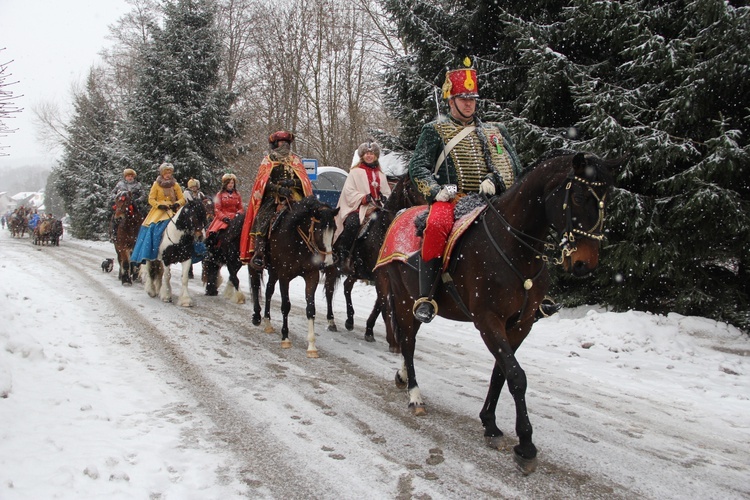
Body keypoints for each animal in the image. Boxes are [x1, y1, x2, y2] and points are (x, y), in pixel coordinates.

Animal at [248, 194, 340, 356]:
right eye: (319, 230)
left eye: (334, 229)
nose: (329, 261)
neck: (298, 240)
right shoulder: (284, 276)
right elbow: (286, 305)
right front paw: (285, 337)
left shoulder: (311, 275)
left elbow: (311, 309)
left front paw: (311, 346)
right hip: (255, 262)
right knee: (255, 285)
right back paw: (257, 316)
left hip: (273, 271)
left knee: (269, 291)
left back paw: (268, 322)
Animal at [324, 174, 428, 350]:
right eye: (412, 188)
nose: (426, 213)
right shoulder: (381, 276)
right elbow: (384, 303)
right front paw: (392, 340)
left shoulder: (386, 278)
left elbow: (380, 304)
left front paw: (369, 330)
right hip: (333, 267)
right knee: (330, 291)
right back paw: (331, 321)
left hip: (355, 272)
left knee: (346, 287)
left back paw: (350, 320)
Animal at [382, 150, 624, 474]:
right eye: (578, 196)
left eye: (606, 199)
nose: (586, 263)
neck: (514, 247)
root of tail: (400, 216)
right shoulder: (488, 321)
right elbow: (517, 376)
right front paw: (526, 444)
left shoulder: (520, 324)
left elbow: (501, 372)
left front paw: (490, 423)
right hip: (405, 301)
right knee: (408, 343)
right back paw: (415, 395)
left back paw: (403, 376)